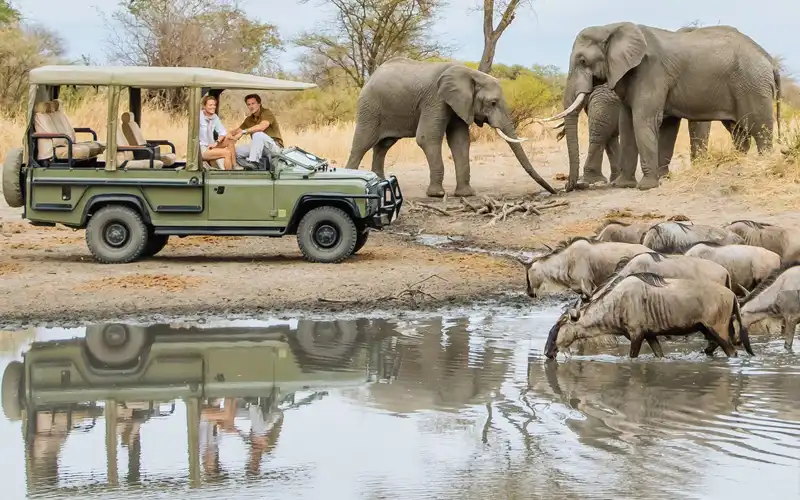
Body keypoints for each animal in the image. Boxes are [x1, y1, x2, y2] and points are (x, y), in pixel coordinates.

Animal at [342, 58, 556, 197]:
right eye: (493, 103)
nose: (553, 191)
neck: (470, 74)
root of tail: (371, 76)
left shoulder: (460, 104)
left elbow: (460, 141)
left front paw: (466, 194)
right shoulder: (435, 99)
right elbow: (427, 138)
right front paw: (437, 195)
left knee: (383, 145)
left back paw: (380, 183)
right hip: (370, 107)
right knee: (363, 143)